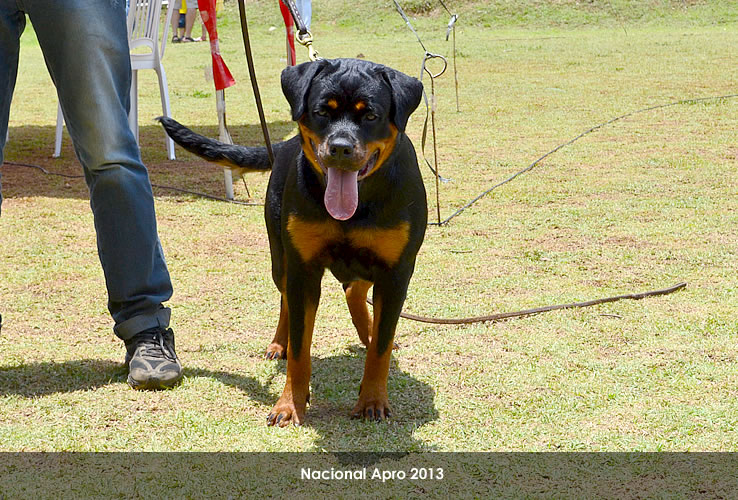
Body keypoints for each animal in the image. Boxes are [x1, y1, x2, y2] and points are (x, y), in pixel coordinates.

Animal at [159, 58, 427, 426]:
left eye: (371, 115)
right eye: (322, 111)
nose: (340, 147)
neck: (357, 206)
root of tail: (283, 145)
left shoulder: (396, 271)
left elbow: (381, 348)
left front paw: (373, 399)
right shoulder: (303, 268)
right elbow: (300, 348)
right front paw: (289, 405)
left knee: (354, 291)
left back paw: (366, 332)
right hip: (280, 257)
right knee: (287, 298)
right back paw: (278, 343)